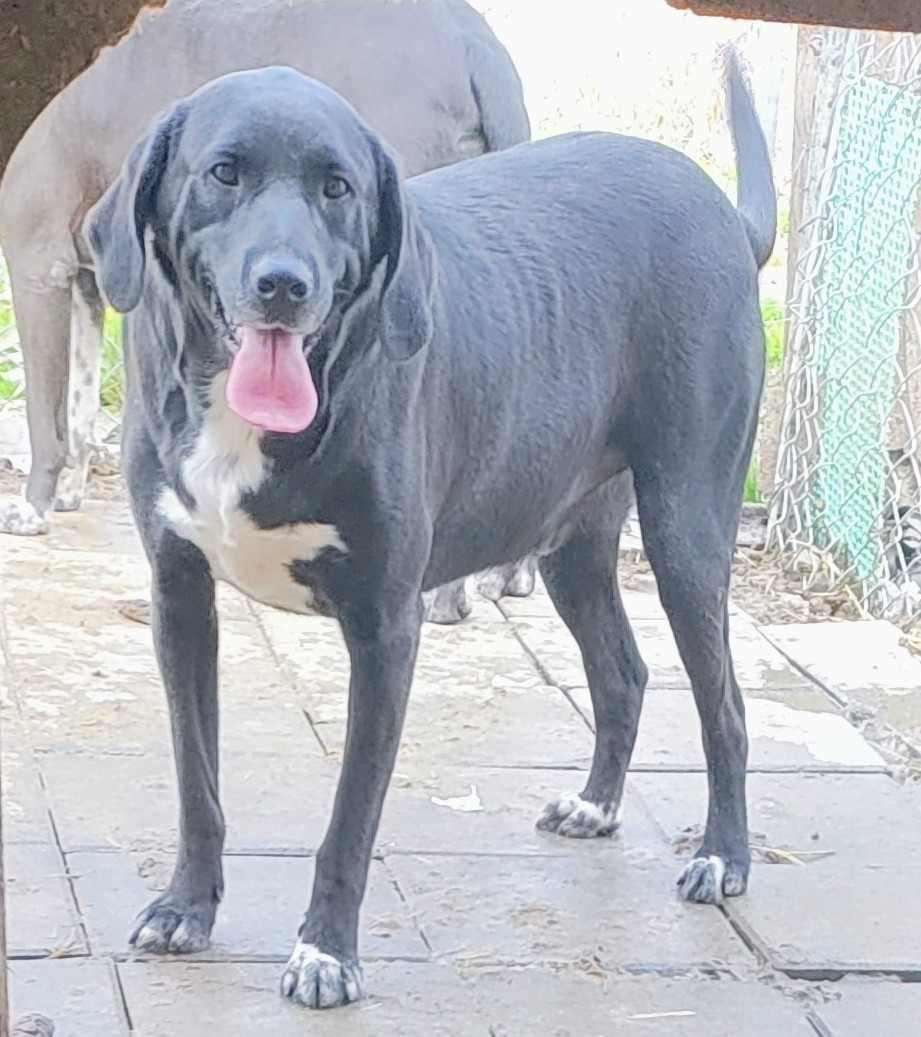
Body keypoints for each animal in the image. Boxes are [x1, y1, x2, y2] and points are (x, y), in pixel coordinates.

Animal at [84, 50, 775, 1012]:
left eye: (337, 186)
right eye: (223, 172)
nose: (284, 285)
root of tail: (721, 212)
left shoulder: (385, 627)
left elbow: (350, 816)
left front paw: (325, 952)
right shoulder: (179, 596)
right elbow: (197, 782)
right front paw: (187, 906)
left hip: (686, 529)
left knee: (725, 707)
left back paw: (722, 856)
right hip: (570, 544)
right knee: (624, 673)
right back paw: (596, 804)